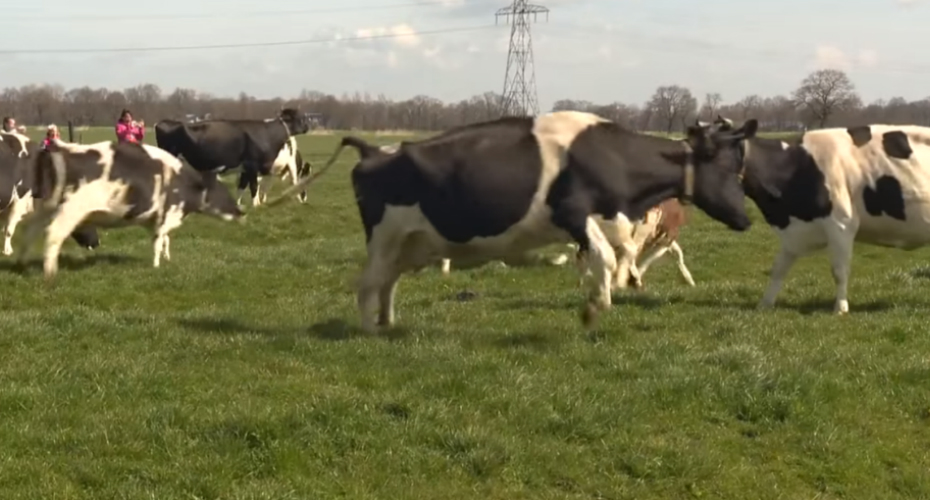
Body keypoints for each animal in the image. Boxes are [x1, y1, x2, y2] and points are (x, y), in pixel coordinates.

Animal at [16, 141, 241, 280]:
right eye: (223, 191)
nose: (242, 212)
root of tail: (63, 149)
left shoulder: (156, 218)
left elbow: (164, 240)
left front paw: (166, 259)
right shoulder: (167, 214)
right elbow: (159, 241)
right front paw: (156, 265)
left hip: (45, 207)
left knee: (29, 232)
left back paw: (23, 264)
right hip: (70, 210)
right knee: (53, 234)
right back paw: (50, 272)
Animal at [153, 109, 308, 207]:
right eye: (300, 117)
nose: (307, 127)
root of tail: (164, 122)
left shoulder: (245, 169)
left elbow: (242, 187)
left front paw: (239, 205)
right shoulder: (252, 165)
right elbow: (253, 186)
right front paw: (256, 205)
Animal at [272, 111, 756, 330]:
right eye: (729, 169)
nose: (747, 218)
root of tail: (375, 150)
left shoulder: (607, 221)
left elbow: (613, 257)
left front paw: (609, 289)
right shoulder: (573, 212)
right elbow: (603, 256)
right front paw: (596, 305)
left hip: (410, 242)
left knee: (387, 282)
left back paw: (388, 323)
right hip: (385, 237)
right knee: (368, 283)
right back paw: (367, 329)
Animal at [716, 115, 930, 314]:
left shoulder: (841, 224)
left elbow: (840, 271)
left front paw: (840, 308)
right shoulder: (793, 233)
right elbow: (778, 269)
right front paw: (764, 304)